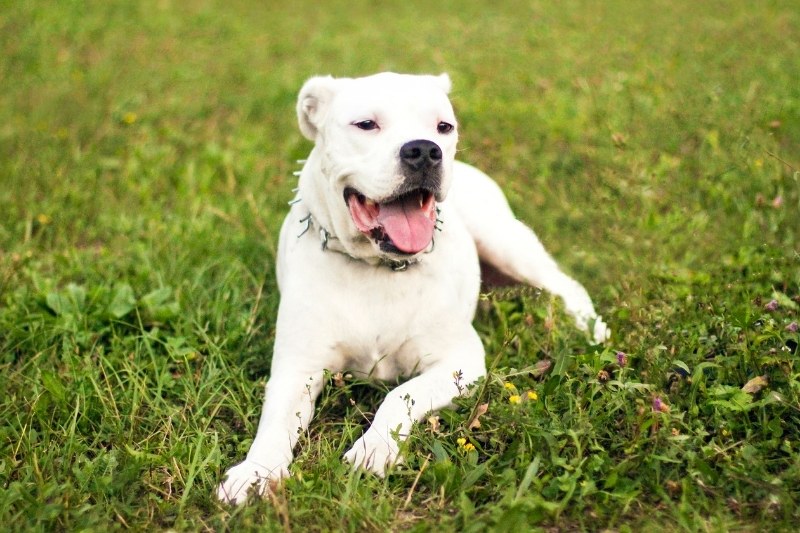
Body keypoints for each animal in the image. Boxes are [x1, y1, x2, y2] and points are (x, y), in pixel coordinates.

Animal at [216, 71, 608, 502]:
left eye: (444, 126)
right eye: (366, 124)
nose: (424, 151)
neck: (376, 267)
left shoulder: (460, 361)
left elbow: (399, 396)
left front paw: (374, 448)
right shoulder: (296, 367)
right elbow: (274, 424)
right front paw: (255, 471)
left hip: (505, 242)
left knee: (565, 284)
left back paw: (591, 329)